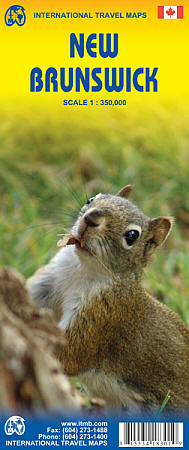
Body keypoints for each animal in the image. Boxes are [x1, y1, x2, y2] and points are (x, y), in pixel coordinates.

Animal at [27, 185, 189, 414]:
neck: (82, 269)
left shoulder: (103, 316)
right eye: (91, 199)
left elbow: (65, 353)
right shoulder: (47, 283)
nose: (91, 217)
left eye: (132, 235)